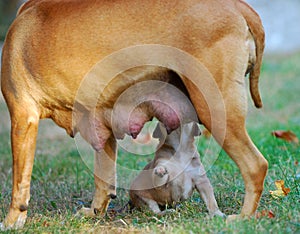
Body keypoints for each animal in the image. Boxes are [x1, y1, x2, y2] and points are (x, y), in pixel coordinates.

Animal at [0, 0, 268, 230]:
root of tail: (239, 6)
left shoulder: (22, 119)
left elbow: (19, 182)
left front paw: (12, 221)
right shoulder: (102, 127)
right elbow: (103, 180)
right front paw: (95, 212)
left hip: (217, 111)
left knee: (255, 165)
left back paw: (243, 217)